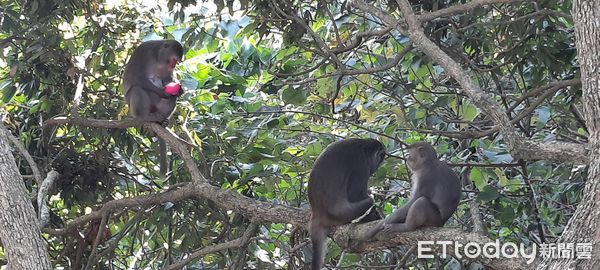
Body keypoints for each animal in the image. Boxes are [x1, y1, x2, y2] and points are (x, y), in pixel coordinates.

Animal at [121, 39, 183, 176]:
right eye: (173, 60)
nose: (173, 66)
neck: (157, 56)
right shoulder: (143, 51)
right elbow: (135, 77)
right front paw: (162, 92)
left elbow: (167, 78)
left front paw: (178, 89)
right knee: (137, 89)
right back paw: (146, 117)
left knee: (172, 98)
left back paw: (162, 120)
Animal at [308, 138, 386, 268]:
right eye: (380, 159)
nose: (376, 167)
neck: (363, 147)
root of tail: (317, 214)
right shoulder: (361, 165)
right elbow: (355, 194)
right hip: (342, 214)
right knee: (369, 201)